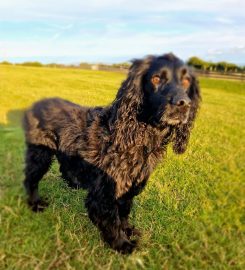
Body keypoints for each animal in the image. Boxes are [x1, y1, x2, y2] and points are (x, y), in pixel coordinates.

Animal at [22, 53, 201, 254]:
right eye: (156, 79)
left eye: (186, 81)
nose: (183, 104)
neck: (138, 135)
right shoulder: (104, 194)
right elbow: (111, 220)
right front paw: (123, 245)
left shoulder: (128, 187)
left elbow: (123, 213)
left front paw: (128, 230)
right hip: (40, 153)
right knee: (30, 179)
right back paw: (35, 204)